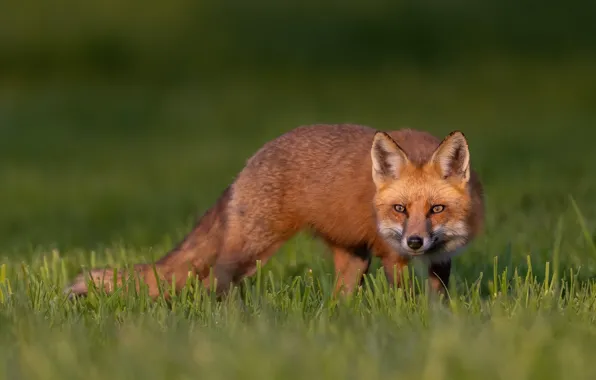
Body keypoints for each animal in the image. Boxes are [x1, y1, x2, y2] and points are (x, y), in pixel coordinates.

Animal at [65, 124, 484, 300]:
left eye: (437, 209)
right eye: (399, 209)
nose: (414, 241)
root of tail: (250, 162)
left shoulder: (441, 260)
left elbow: (439, 297)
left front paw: (438, 320)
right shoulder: (391, 256)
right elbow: (404, 298)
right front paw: (407, 318)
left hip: (353, 258)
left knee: (341, 296)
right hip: (253, 249)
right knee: (214, 280)